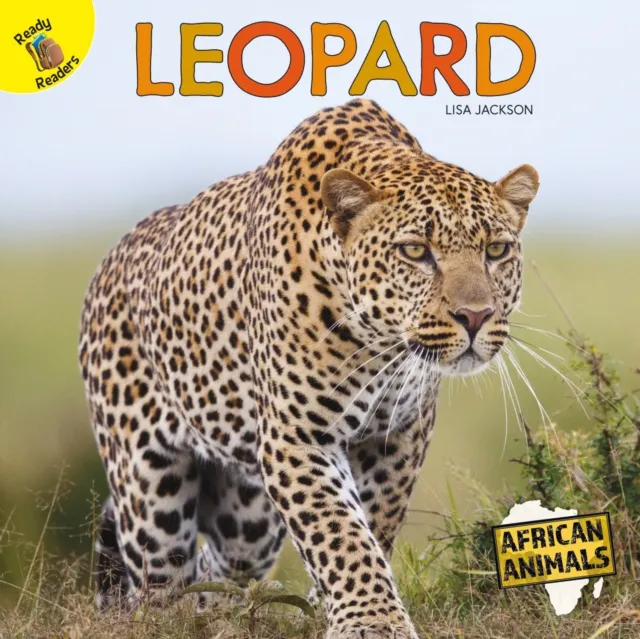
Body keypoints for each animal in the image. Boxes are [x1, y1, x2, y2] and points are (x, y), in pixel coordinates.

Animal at [79, 98, 539, 638]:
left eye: (496, 250)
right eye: (415, 251)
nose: (475, 316)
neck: (380, 344)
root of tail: (109, 261)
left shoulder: (398, 435)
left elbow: (371, 523)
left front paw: (331, 608)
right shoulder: (297, 437)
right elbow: (337, 529)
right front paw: (371, 620)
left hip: (247, 517)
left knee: (220, 569)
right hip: (150, 493)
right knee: (158, 587)